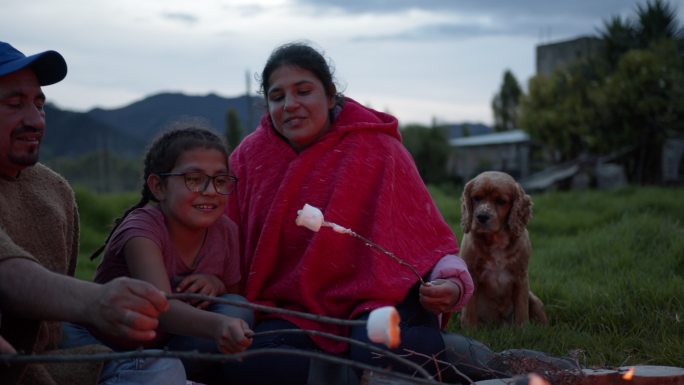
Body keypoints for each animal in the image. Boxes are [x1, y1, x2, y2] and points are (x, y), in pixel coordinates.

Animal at [456, 171, 548, 328]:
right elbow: (470, 308)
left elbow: (521, 307)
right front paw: (470, 328)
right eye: (476, 198)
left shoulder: (521, 276)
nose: (481, 217)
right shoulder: (472, 273)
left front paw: (523, 329)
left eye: (501, 201)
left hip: (534, 299)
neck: (496, 239)